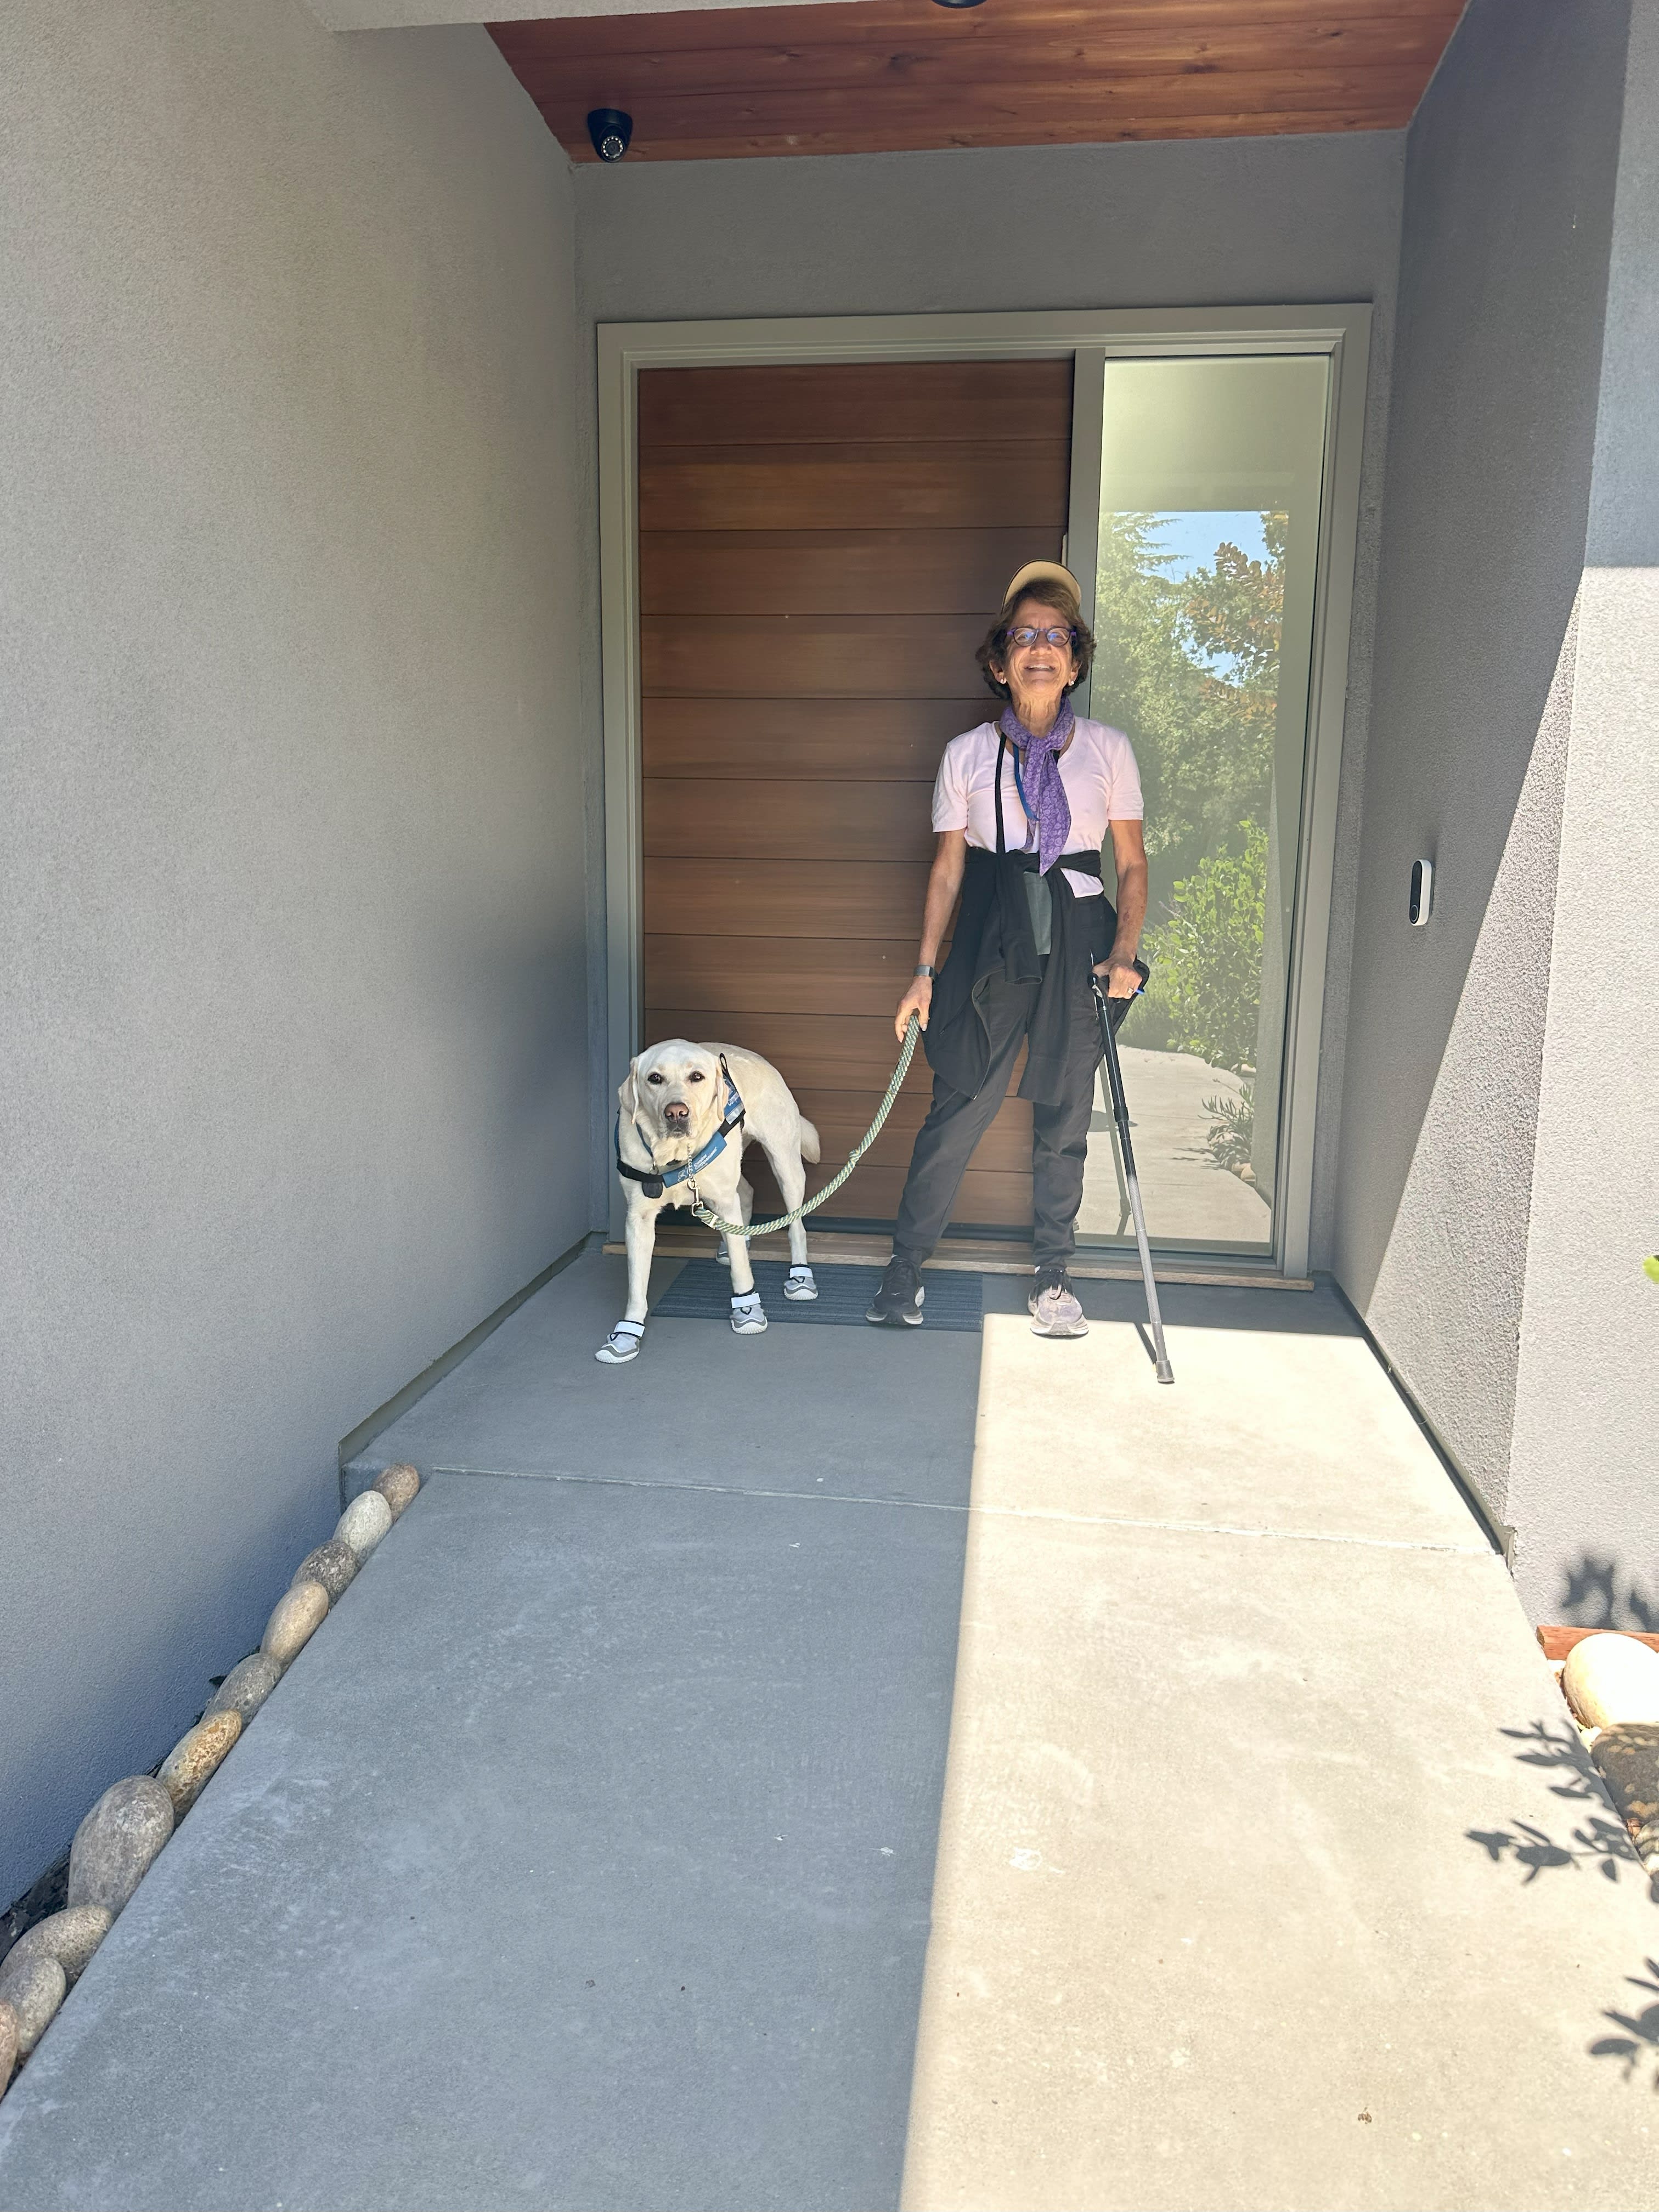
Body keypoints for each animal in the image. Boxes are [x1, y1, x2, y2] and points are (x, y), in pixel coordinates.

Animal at [606, 1040, 827, 1362]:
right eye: (654, 1078)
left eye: (697, 1077)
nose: (676, 1113)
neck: (678, 1155)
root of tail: (758, 1059)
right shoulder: (639, 1218)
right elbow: (637, 1284)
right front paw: (627, 1332)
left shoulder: (723, 1199)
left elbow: (742, 1270)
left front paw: (747, 1309)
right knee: (745, 1193)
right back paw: (737, 1239)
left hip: (785, 1163)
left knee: (796, 1224)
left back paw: (800, 1275)